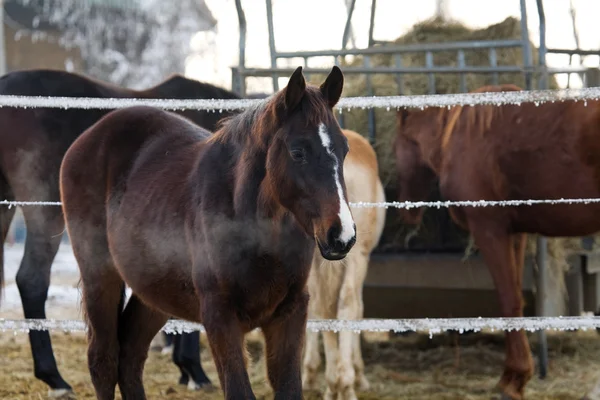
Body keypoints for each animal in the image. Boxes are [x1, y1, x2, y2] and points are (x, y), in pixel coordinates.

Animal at [59, 67, 356, 398]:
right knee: (104, 360)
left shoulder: (290, 312)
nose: (341, 235)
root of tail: (87, 139)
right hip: (100, 276)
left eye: (344, 149)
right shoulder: (219, 315)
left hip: (154, 291)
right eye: (298, 152)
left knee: (130, 357)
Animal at [302, 129, 386, 400]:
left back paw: (332, 383)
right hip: (356, 257)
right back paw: (345, 383)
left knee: (322, 307)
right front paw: (358, 375)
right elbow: (358, 308)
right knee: (347, 304)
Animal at [392, 83, 600, 398]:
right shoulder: (515, 233)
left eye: (395, 148)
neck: (457, 135)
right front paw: (516, 375)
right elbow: (516, 298)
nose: (407, 212)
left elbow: (508, 300)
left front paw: (513, 379)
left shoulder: (489, 229)